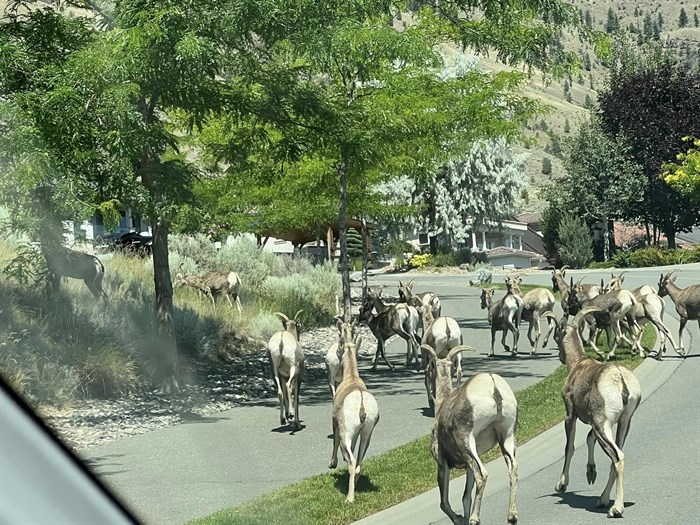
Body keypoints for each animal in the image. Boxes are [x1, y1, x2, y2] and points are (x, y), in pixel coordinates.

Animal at [326, 324, 378, 504]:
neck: (352, 380)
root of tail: (361, 402)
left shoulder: (336, 425)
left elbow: (334, 440)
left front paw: (332, 464)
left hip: (347, 435)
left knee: (352, 461)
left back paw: (349, 499)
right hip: (367, 434)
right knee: (359, 463)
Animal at [426, 344, 520, 524]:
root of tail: (492, 386)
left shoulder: (442, 463)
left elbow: (444, 503)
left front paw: (461, 519)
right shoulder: (468, 465)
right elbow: (465, 497)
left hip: (466, 442)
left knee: (482, 474)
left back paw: (474, 519)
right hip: (507, 436)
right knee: (513, 468)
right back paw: (512, 515)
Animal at [552, 304, 640, 516]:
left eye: (556, 335)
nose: (560, 357)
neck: (577, 365)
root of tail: (621, 380)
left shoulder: (570, 415)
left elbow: (569, 447)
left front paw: (561, 485)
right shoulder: (593, 421)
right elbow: (588, 438)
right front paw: (590, 473)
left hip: (603, 426)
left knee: (618, 457)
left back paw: (616, 509)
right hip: (623, 422)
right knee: (616, 456)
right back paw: (602, 500)